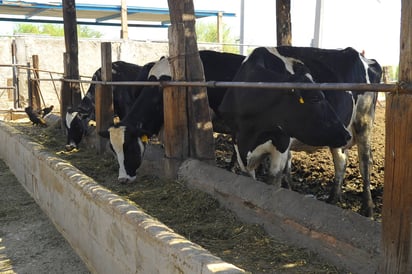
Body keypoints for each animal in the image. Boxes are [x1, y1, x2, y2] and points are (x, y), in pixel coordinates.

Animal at [217, 47, 382, 218]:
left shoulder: (281, 145)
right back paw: (332, 200)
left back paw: (368, 209)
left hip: (364, 122)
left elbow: (273, 181)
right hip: (338, 137)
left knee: (365, 163)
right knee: (341, 162)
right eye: (315, 98)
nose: (346, 135)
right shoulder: (239, 145)